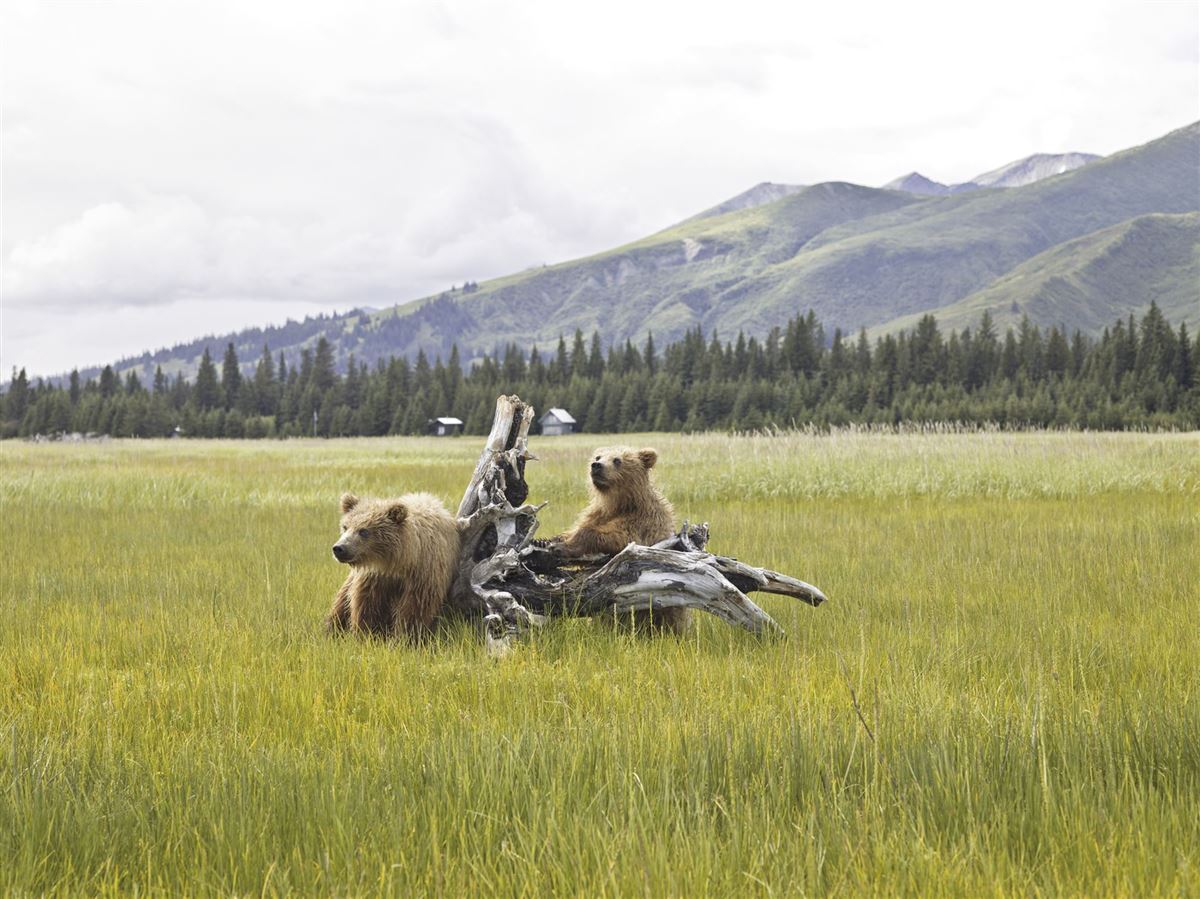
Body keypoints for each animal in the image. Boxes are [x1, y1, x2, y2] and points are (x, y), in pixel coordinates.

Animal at [325, 491, 460, 640]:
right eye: (345, 527)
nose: (339, 548)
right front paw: (366, 634)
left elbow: (415, 608)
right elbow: (366, 604)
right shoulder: (374, 577)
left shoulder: (424, 573)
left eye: (363, 531)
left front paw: (404, 636)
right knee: (342, 601)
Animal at [553, 445, 691, 635]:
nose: (596, 466)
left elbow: (620, 538)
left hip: (665, 611)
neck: (618, 503)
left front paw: (563, 546)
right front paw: (557, 538)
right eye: (598, 456)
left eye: (617, 460)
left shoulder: (642, 521)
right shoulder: (598, 514)